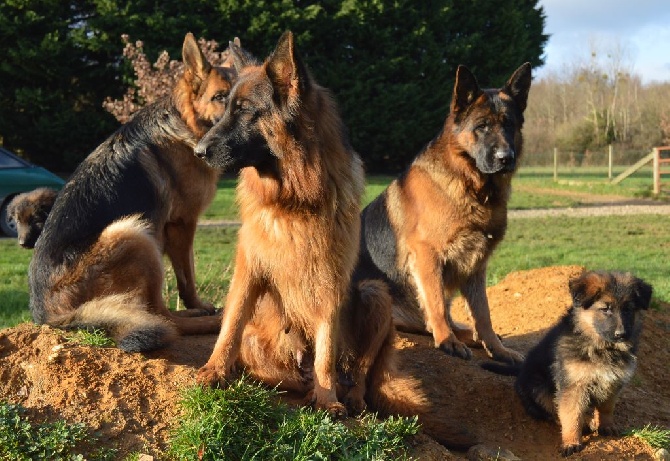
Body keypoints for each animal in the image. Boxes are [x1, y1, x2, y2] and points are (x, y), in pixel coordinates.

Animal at [28, 34, 239, 350]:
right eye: (220, 97)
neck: (184, 123)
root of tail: (51, 317)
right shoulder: (182, 224)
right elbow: (187, 278)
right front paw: (199, 304)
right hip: (134, 234)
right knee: (163, 317)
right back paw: (211, 320)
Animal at [192, 31, 480, 446]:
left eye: (245, 111)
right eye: (224, 107)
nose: (197, 151)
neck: (294, 202)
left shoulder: (329, 282)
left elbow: (327, 348)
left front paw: (327, 399)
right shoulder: (249, 270)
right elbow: (229, 327)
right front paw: (213, 371)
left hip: (376, 296)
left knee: (357, 371)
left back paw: (349, 395)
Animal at [354, 62, 532, 362]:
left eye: (508, 124)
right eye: (482, 127)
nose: (505, 158)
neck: (472, 188)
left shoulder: (476, 265)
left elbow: (483, 314)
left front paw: (496, 349)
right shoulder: (428, 256)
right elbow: (436, 303)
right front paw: (447, 341)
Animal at [486, 272, 652, 454]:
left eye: (628, 309)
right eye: (605, 309)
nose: (621, 334)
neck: (600, 346)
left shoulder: (613, 383)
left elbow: (607, 408)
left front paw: (607, 426)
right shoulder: (573, 386)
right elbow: (571, 415)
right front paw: (571, 442)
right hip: (538, 387)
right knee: (551, 411)